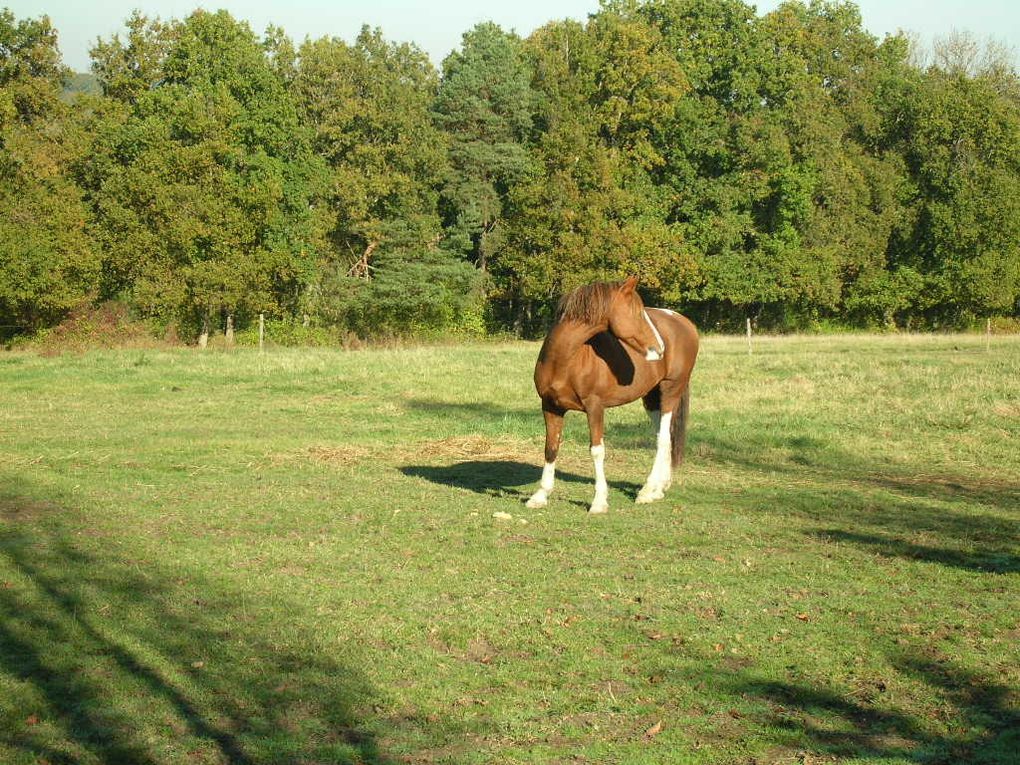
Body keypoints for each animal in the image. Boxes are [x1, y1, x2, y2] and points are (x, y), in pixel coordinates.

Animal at [526, 275, 701, 516]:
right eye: (638, 312)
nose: (660, 349)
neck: (566, 359)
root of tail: (685, 323)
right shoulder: (551, 406)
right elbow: (551, 448)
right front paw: (540, 496)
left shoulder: (594, 407)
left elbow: (597, 451)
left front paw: (599, 502)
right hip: (651, 398)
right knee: (664, 436)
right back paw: (658, 488)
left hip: (670, 392)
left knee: (663, 439)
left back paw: (647, 492)